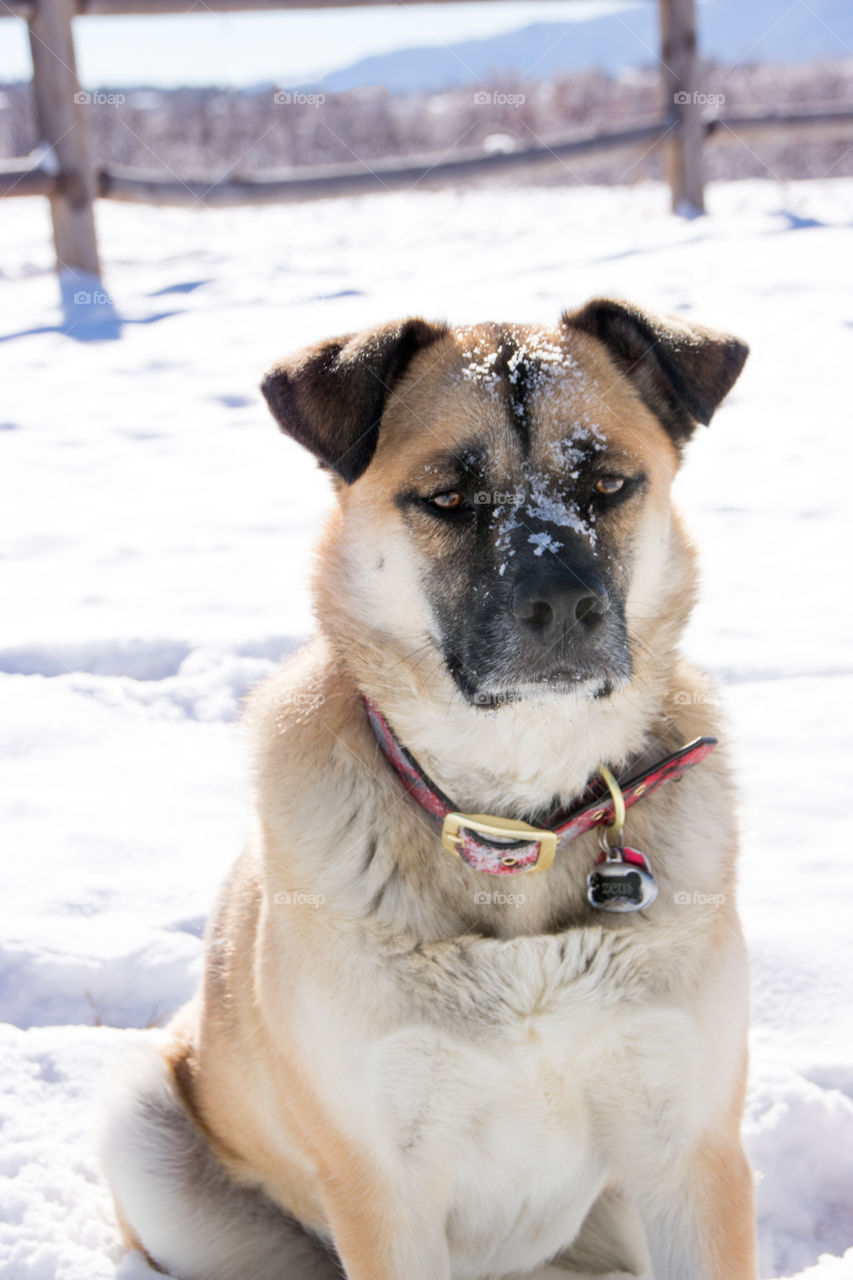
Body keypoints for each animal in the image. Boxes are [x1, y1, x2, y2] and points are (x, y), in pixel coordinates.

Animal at [96, 299, 753, 1280]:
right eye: (447, 499)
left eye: (606, 484)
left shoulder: (689, 1149)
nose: (565, 607)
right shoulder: (382, 1183)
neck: (514, 824)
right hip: (141, 1119)